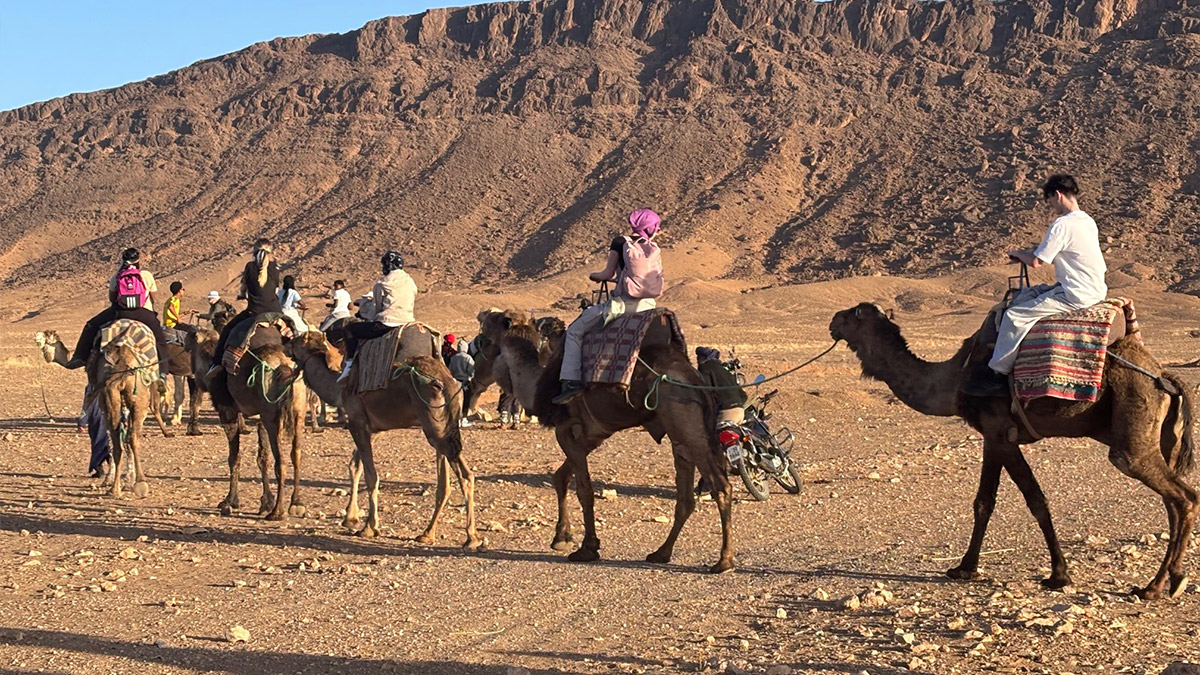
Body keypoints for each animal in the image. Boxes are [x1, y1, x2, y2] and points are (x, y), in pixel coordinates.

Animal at [34, 328, 171, 496]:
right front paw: (127, 480)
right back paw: (136, 483)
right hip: (134, 395)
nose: (36, 337)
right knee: (132, 437)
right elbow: (125, 438)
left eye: (46, 336)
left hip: (112, 396)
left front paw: (113, 479)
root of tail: (123, 365)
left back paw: (117, 487)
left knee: (120, 438)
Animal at [203, 324, 308, 521]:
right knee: (296, 455)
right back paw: (297, 504)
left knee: (281, 461)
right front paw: (265, 502)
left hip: (272, 416)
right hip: (297, 411)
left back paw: (277, 512)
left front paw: (229, 501)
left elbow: (234, 458)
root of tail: (283, 366)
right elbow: (262, 458)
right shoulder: (260, 419)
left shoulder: (227, 412)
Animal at [286, 329, 478, 546]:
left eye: (299, 340)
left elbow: (370, 476)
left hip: (436, 427)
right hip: (442, 427)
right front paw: (350, 517)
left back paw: (471, 537)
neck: (339, 387)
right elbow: (355, 466)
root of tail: (447, 382)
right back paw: (428, 533)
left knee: (464, 474)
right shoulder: (373, 429)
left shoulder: (357, 423)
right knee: (446, 482)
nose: (286, 343)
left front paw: (369, 528)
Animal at [484, 310, 735, 572]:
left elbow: (584, 489)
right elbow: (560, 477)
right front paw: (562, 538)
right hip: (680, 431)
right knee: (686, 495)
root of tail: (694, 377)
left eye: (496, 319)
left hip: (684, 421)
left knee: (720, 486)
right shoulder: (590, 437)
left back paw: (723, 560)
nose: (483, 314)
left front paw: (587, 548)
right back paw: (661, 553)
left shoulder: (565, 430)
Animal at [830, 303, 1196, 599]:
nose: (832, 321)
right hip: (1161, 439)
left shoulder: (1001, 434)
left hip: (1132, 431)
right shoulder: (991, 437)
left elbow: (1036, 501)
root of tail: (1164, 376)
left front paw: (1058, 575)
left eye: (855, 313)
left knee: (1181, 496)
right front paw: (964, 568)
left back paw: (1164, 583)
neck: (954, 378)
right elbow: (984, 503)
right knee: (1173, 501)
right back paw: (1163, 582)